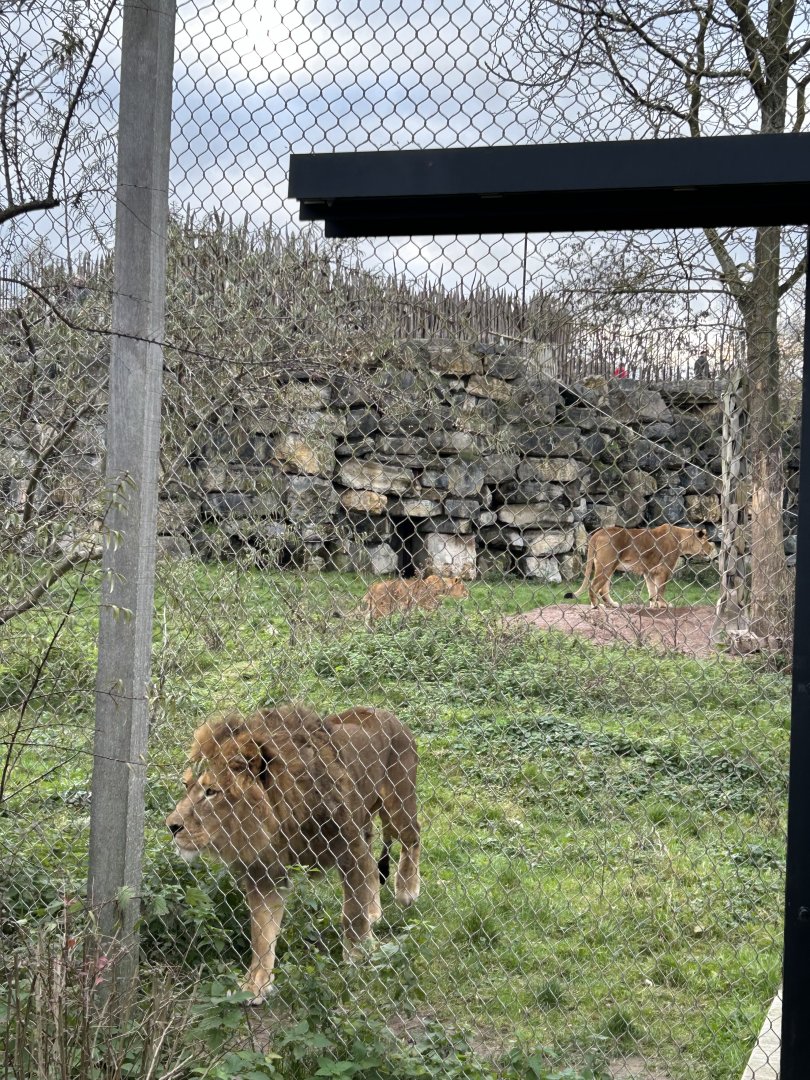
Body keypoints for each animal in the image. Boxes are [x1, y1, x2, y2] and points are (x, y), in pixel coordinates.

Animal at [166, 703, 420, 1002]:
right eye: (187, 786)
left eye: (211, 791)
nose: (171, 826)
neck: (278, 819)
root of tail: (384, 712)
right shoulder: (265, 874)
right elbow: (261, 933)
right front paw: (255, 985)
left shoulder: (349, 848)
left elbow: (352, 912)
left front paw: (358, 956)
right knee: (371, 867)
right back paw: (374, 913)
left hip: (396, 806)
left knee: (412, 837)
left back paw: (407, 890)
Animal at [565, 524, 715, 609]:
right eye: (706, 540)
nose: (712, 549)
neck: (682, 538)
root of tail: (596, 534)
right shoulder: (664, 570)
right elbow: (661, 589)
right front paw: (663, 605)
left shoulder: (649, 572)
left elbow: (652, 590)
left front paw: (653, 605)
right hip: (606, 565)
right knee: (593, 586)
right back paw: (596, 606)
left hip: (607, 565)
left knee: (603, 589)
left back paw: (610, 604)